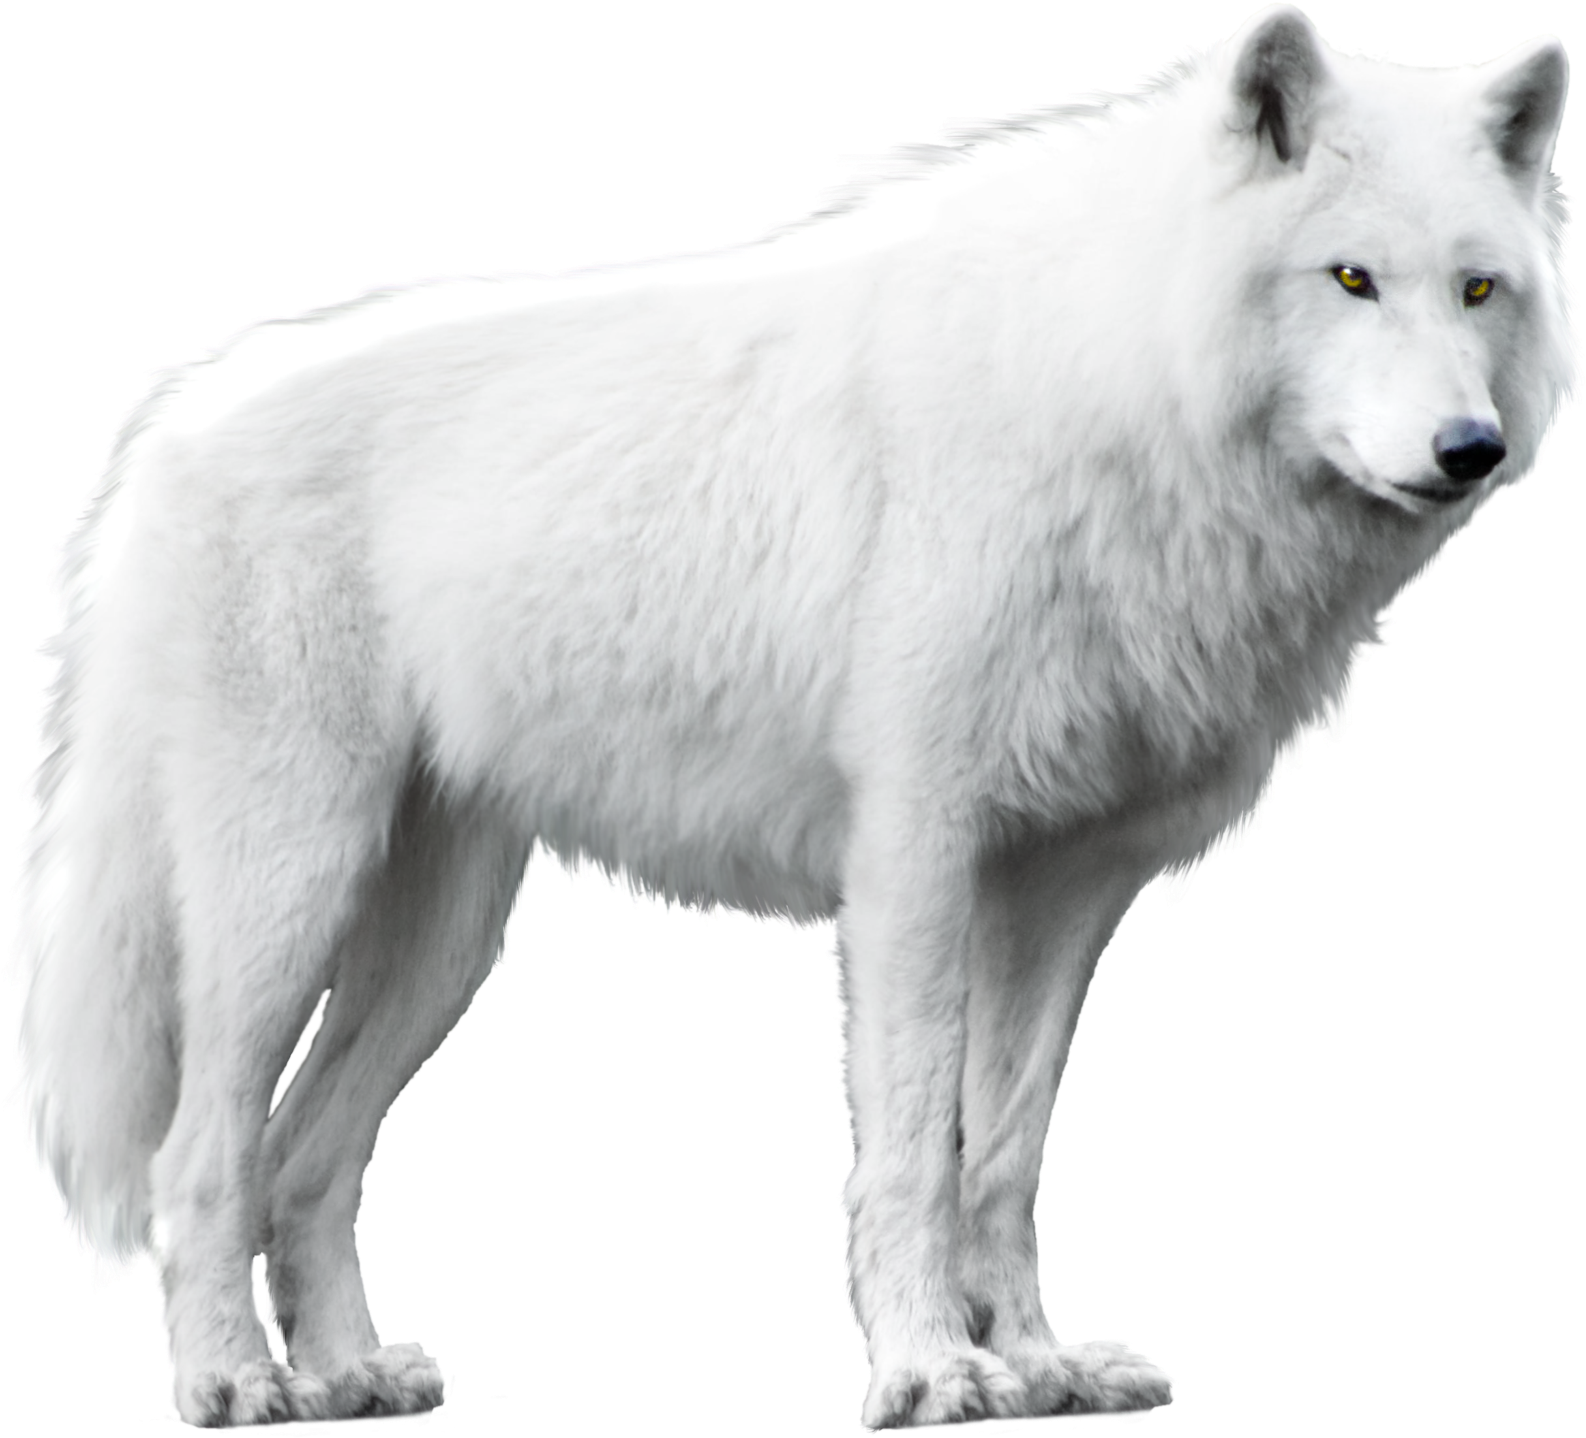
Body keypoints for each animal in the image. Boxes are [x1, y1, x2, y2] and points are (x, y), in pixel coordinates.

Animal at [8, 3, 1577, 1430]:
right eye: (1350, 277)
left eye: (1478, 291)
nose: (1467, 449)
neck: (1116, 390)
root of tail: (169, 425)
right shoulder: (915, 859)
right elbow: (914, 1150)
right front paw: (932, 1372)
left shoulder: (1063, 888)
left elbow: (1004, 1156)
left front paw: (1041, 1365)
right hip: (289, 898)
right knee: (200, 1157)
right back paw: (232, 1383)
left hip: (440, 945)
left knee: (303, 1159)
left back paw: (345, 1377)